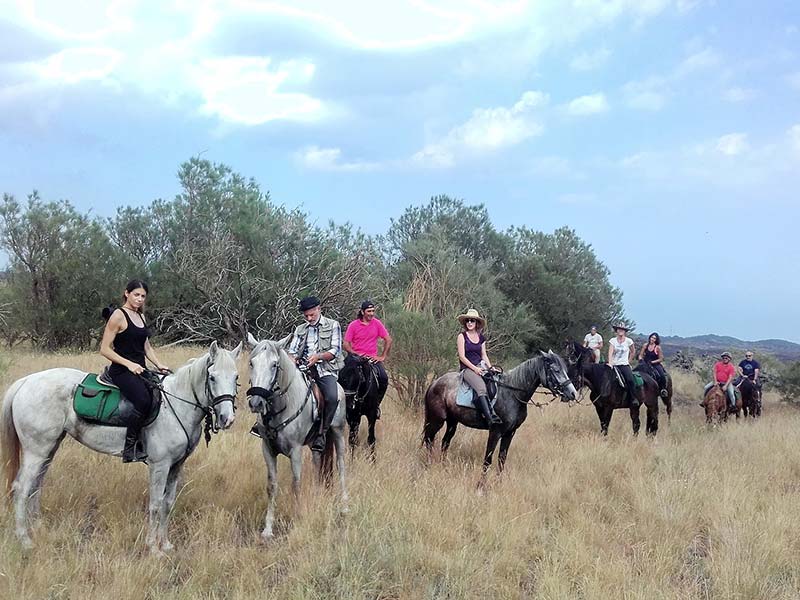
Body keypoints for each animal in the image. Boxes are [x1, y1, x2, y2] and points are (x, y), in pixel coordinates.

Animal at [1, 340, 242, 552]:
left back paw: (38, 530)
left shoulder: (176, 466)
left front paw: (165, 544)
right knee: (21, 488)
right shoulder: (160, 465)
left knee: (36, 486)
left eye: (236, 377)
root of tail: (25, 382)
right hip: (36, 451)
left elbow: (167, 504)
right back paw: (25, 540)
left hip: (49, 450)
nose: (226, 418)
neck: (176, 403)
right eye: (212, 377)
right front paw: (153, 548)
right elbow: (155, 504)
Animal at [245, 336, 348, 540]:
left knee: (340, 465)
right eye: (252, 363)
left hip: (338, 432)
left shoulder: (295, 450)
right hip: (317, 444)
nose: (256, 402)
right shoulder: (267, 449)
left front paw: (298, 517)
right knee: (318, 467)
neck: (282, 406)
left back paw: (345, 504)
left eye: (275, 365)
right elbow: (272, 486)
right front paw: (268, 529)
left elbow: (296, 484)